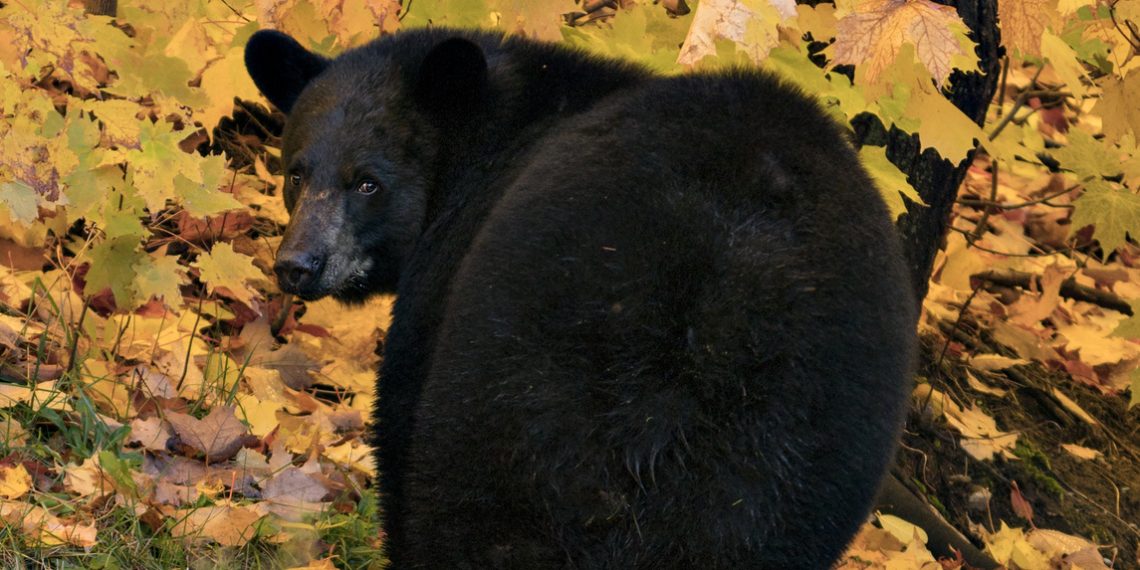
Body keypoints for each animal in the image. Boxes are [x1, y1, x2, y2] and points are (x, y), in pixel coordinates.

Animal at [245, 27, 916, 569]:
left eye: (368, 183)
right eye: (296, 173)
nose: (297, 266)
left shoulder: (445, 279)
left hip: (529, 372)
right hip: (803, 451)